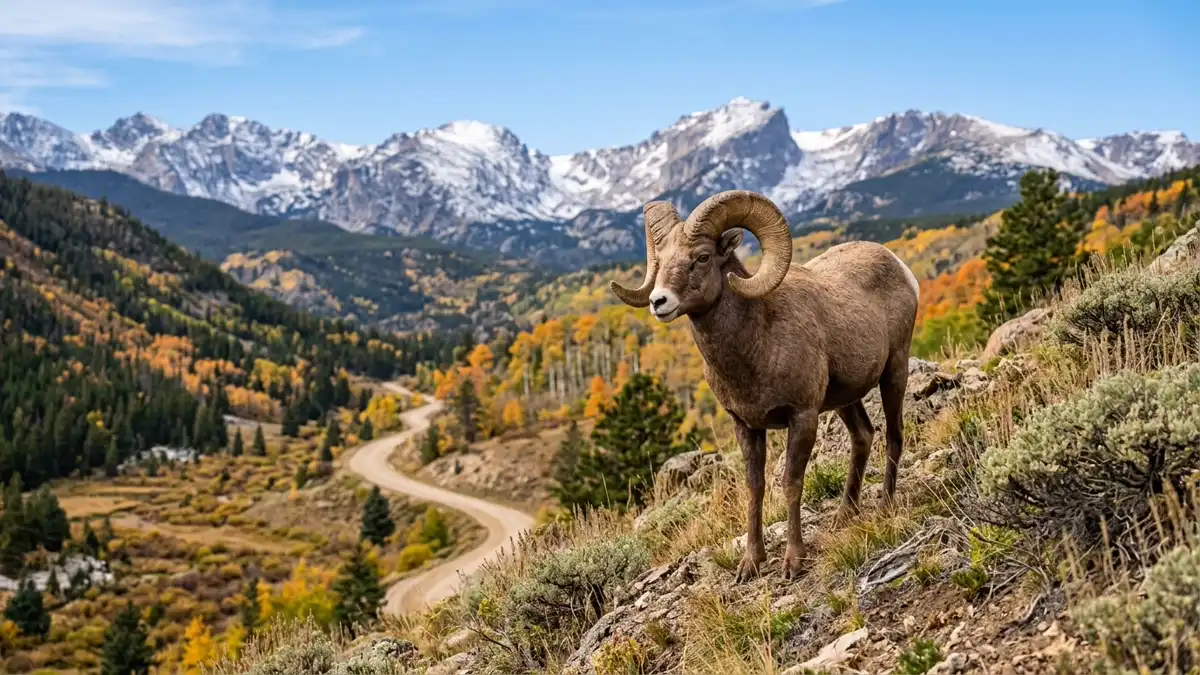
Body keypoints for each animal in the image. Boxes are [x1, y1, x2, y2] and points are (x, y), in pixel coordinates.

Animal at [610, 190, 919, 581]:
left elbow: (790, 483)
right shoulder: (746, 426)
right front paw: (750, 564)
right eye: (661, 260)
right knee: (863, 436)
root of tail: (899, 266)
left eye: (702, 257)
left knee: (894, 435)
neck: (757, 345)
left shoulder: (802, 418)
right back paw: (844, 515)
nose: (658, 302)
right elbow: (754, 488)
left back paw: (884, 507)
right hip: (845, 399)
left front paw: (792, 562)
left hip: (895, 370)